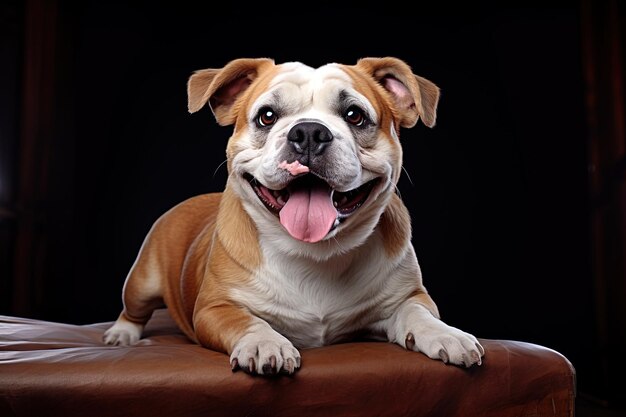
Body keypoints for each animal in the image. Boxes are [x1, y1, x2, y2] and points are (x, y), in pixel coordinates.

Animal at [102, 56, 482, 374]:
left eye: (354, 115)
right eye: (267, 116)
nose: (309, 131)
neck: (314, 253)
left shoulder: (408, 296)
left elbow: (417, 312)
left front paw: (447, 334)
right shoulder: (215, 309)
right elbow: (247, 321)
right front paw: (263, 342)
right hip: (141, 282)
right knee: (133, 309)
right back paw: (122, 335)